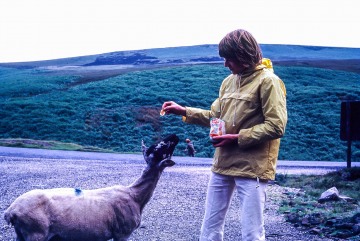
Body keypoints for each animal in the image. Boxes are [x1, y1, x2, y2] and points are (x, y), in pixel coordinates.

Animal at [4, 134, 179, 241]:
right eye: (159, 147)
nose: (175, 136)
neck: (135, 195)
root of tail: (10, 212)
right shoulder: (122, 232)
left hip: (22, 234)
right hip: (36, 232)